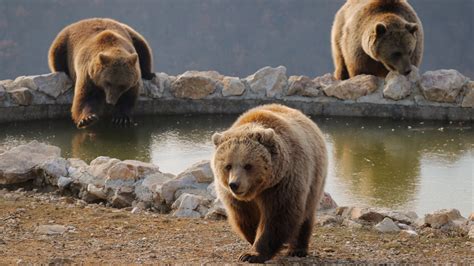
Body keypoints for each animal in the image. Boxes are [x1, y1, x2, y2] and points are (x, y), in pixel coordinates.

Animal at [210, 103, 326, 262]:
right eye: (228, 166)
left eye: (248, 165)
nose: (234, 184)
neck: (258, 189)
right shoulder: (235, 198)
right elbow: (245, 217)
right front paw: (252, 241)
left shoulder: (282, 183)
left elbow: (278, 216)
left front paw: (251, 254)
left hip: (314, 177)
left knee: (306, 214)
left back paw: (297, 249)